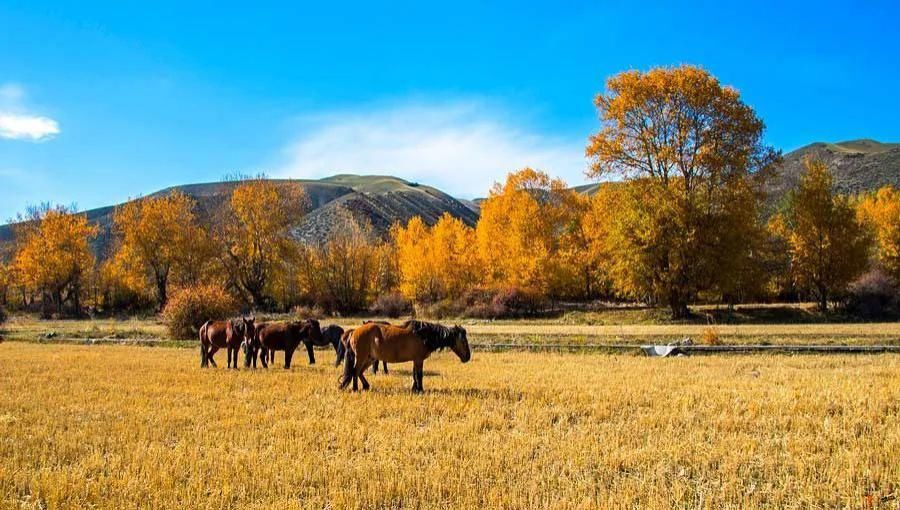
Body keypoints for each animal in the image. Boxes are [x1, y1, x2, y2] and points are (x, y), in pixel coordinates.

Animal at [340, 318, 472, 394]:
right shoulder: (418, 360)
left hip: (370, 358)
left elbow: (414, 375)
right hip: (362, 357)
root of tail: (354, 331)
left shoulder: (415, 360)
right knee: (355, 371)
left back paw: (365, 386)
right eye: (463, 341)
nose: (467, 357)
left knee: (359, 372)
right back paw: (355, 389)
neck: (422, 334)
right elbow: (419, 375)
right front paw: (420, 390)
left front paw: (414, 389)